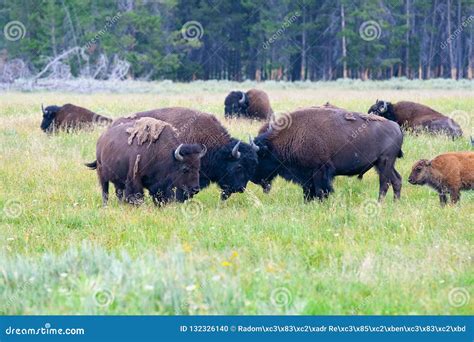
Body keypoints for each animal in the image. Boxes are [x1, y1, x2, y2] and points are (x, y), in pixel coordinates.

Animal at [252, 108, 404, 202]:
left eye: (261, 157)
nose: (254, 179)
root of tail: (397, 127)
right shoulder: (308, 176)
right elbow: (308, 191)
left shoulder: (319, 171)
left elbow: (321, 191)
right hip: (383, 164)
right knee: (396, 180)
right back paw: (395, 203)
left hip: (384, 162)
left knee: (384, 184)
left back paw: (379, 203)